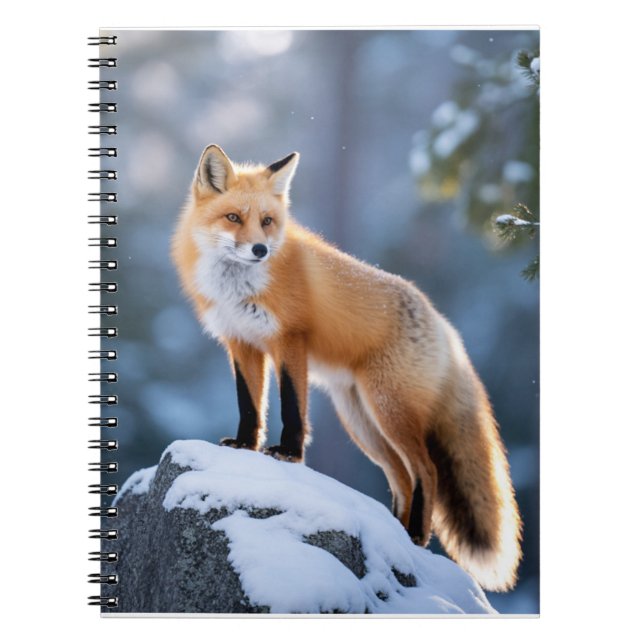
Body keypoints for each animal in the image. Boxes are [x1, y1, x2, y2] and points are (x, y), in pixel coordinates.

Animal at [171, 144, 522, 591]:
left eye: (267, 221)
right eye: (233, 217)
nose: (260, 250)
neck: (238, 286)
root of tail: (444, 326)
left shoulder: (290, 340)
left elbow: (291, 406)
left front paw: (288, 454)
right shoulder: (242, 343)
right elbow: (250, 406)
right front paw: (245, 446)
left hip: (388, 410)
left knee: (426, 470)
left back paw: (416, 535)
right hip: (362, 421)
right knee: (403, 478)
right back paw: (396, 536)